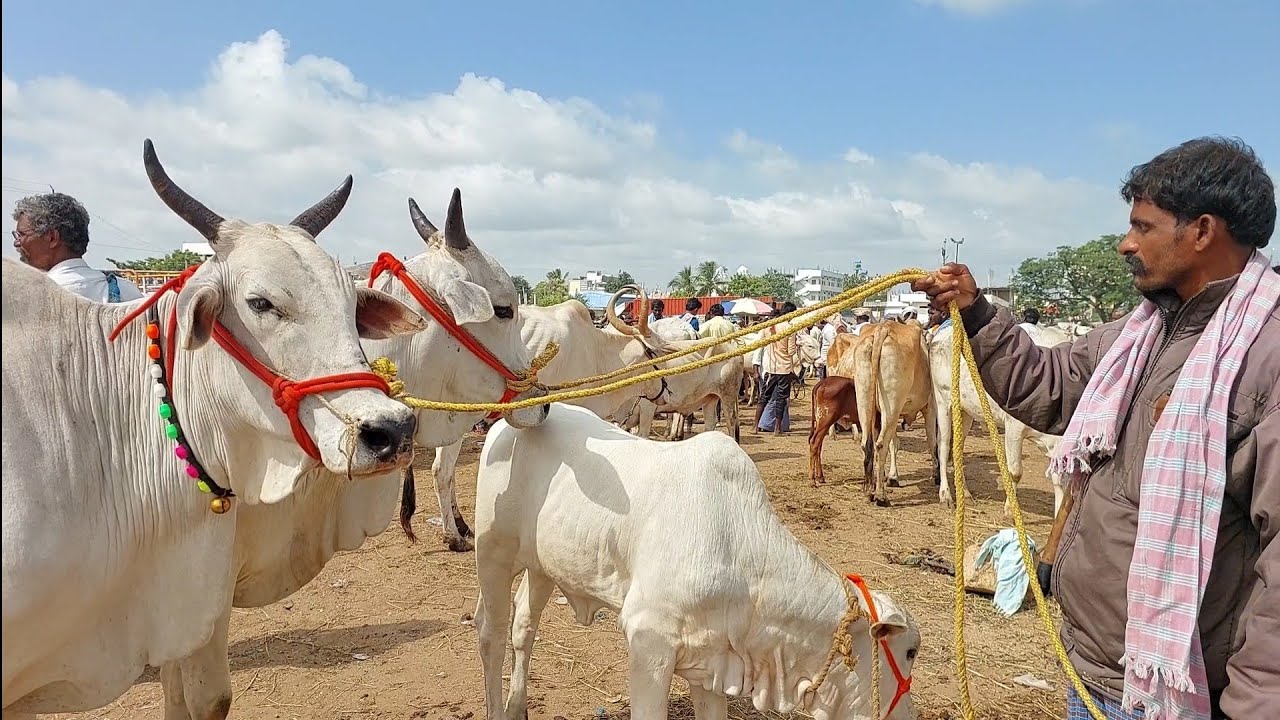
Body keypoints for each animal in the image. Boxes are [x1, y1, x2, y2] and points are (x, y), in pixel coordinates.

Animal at [473, 403, 921, 720]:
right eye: (911, 652)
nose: (910, 716)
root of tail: (503, 424)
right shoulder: (648, 640)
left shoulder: (713, 658)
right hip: (493, 551)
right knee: (490, 633)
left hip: (543, 566)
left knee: (523, 626)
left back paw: (518, 707)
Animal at [854, 322, 938, 506]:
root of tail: (883, 328)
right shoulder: (931, 408)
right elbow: (932, 441)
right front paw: (937, 475)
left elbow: (895, 443)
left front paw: (892, 477)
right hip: (892, 403)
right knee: (880, 444)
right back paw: (880, 496)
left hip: (865, 401)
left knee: (867, 444)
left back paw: (870, 490)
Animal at [928, 322, 1071, 516]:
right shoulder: (1013, 429)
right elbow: (1015, 472)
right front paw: (1010, 509)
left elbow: (1058, 479)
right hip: (943, 401)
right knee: (943, 448)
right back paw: (945, 496)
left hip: (965, 411)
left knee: (957, 450)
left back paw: (965, 494)